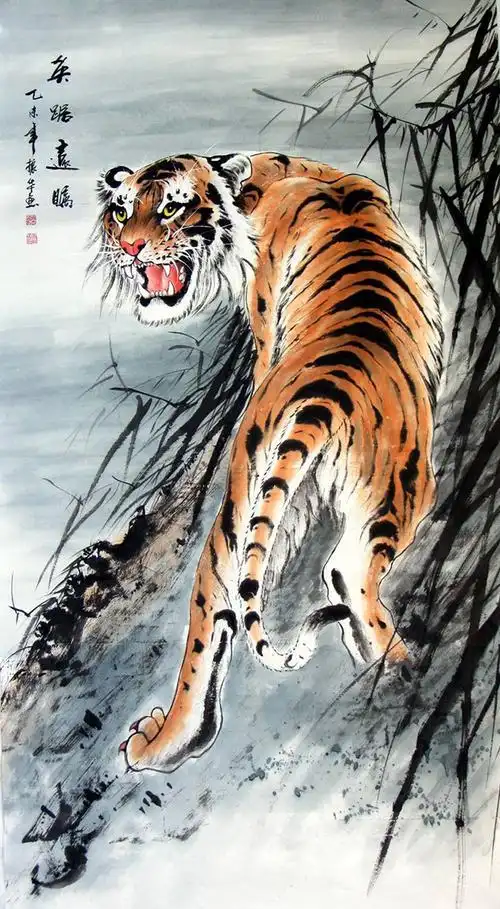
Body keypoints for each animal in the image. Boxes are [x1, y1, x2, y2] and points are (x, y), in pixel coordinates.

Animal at [91, 151, 443, 773]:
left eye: (173, 207)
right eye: (122, 210)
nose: (129, 248)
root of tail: (330, 394)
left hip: (239, 513)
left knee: (214, 613)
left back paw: (158, 744)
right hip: (400, 487)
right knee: (351, 574)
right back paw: (394, 674)